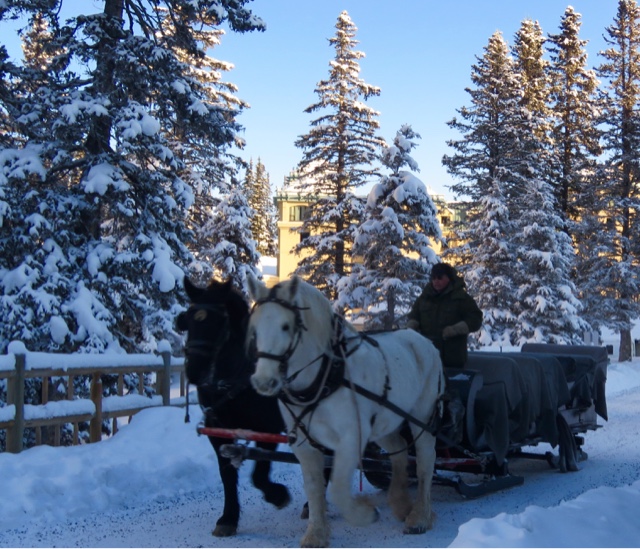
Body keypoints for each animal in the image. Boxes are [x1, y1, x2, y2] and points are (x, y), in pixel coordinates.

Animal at [176, 277, 290, 537]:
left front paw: (278, 495)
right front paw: (228, 518)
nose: (194, 370)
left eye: (219, 322)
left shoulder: (268, 428)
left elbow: (259, 474)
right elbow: (227, 474)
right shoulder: (217, 429)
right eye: (187, 320)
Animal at [246, 274, 445, 548]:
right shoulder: (304, 444)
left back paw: (419, 516)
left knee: (425, 461)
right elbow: (314, 488)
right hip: (384, 421)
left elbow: (338, 488)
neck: (325, 374)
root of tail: (425, 341)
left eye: (286, 326)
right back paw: (400, 503)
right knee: (399, 450)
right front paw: (316, 533)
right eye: (254, 329)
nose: (264, 381)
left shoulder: (351, 438)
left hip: (422, 417)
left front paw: (364, 514)